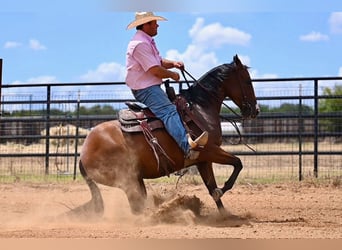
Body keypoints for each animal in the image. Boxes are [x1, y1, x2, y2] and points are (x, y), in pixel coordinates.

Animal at [77, 54, 260, 217]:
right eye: (247, 81)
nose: (255, 110)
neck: (200, 109)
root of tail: (83, 153)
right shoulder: (209, 150)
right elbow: (237, 163)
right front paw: (220, 191)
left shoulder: (203, 160)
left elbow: (211, 186)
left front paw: (225, 215)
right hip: (127, 181)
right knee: (136, 205)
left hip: (136, 179)